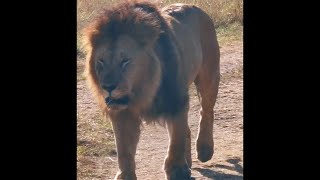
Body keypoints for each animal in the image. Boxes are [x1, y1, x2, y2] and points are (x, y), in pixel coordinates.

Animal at [82, 0, 220, 179]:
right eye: (101, 61)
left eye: (125, 61)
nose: (108, 86)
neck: (144, 90)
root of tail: (194, 7)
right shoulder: (122, 112)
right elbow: (123, 150)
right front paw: (125, 175)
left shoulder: (176, 100)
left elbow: (176, 138)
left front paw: (177, 170)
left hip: (209, 76)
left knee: (206, 111)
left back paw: (204, 149)